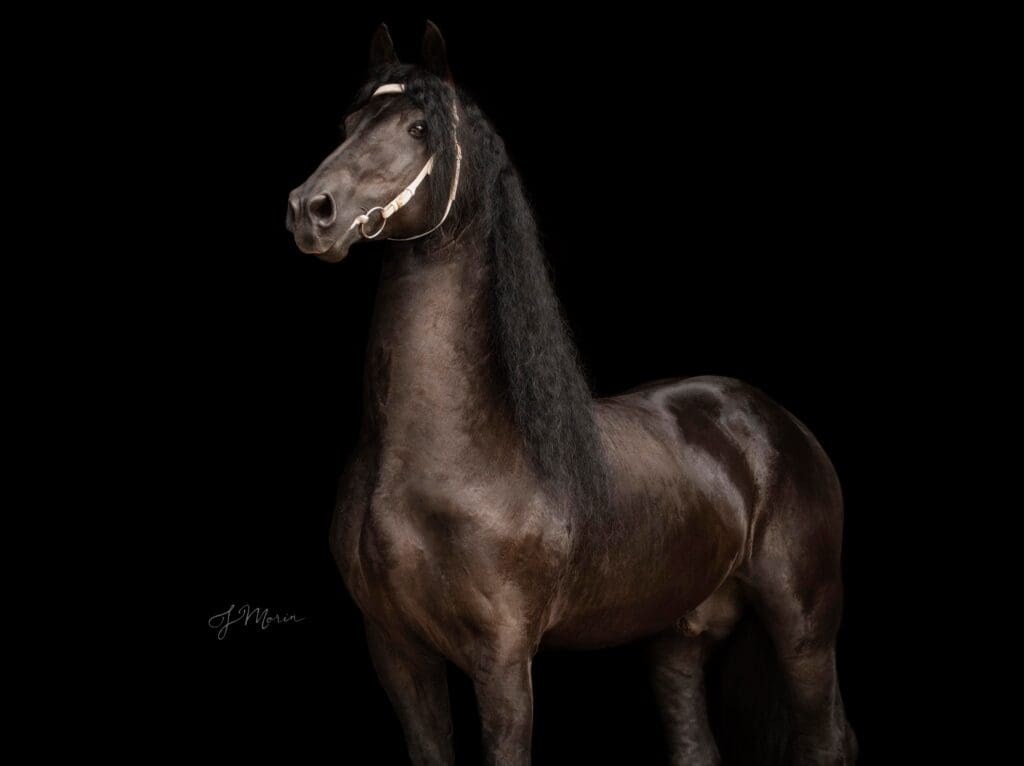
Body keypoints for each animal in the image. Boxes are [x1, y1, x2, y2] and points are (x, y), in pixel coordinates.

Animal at [285, 22, 857, 766]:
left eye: (418, 127)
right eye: (348, 125)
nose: (311, 210)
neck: (451, 456)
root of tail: (778, 422)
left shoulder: (503, 660)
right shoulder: (396, 653)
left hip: (804, 623)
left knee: (825, 739)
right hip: (676, 634)